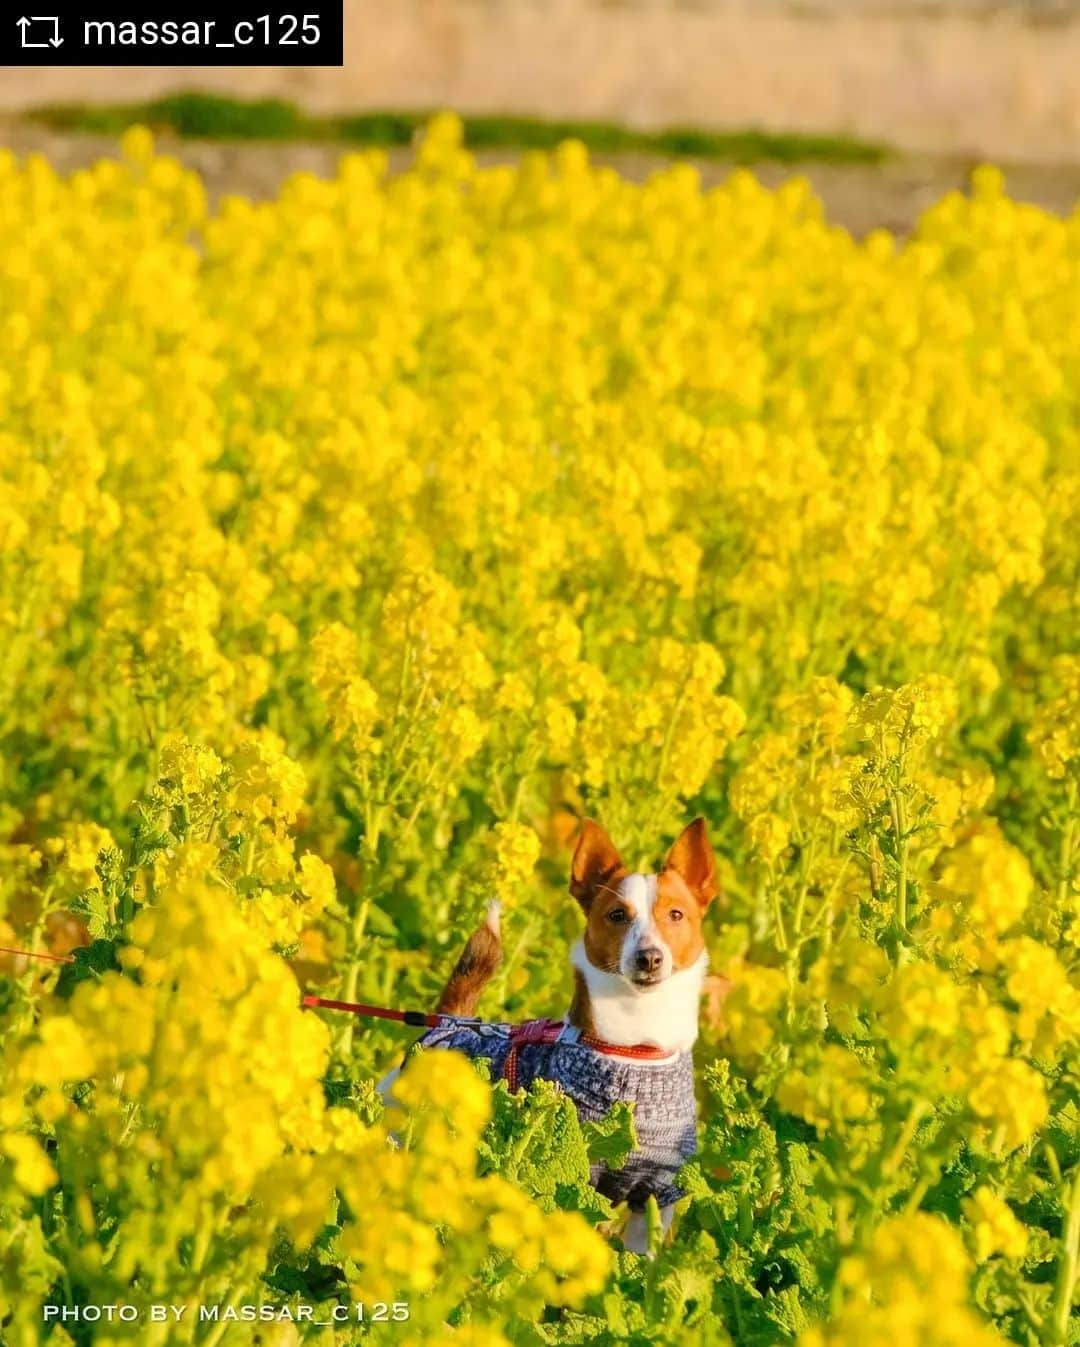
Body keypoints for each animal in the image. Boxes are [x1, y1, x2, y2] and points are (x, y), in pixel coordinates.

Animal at [379, 813, 716, 1255]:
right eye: (616, 916)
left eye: (676, 915)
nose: (649, 957)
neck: (635, 1049)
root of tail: (448, 1022)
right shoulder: (572, 1172)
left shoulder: (656, 1193)